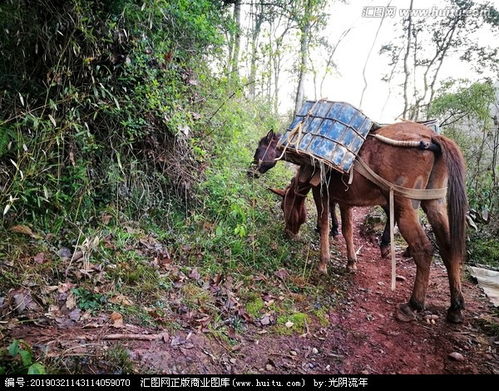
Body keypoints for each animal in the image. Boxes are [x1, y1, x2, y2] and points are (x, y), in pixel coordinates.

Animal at [254, 123, 468, 324]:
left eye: (284, 207)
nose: (252, 170)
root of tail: (431, 136)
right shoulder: (345, 200)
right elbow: (347, 229)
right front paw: (351, 263)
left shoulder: (322, 193)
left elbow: (324, 224)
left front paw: (323, 263)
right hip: (434, 203)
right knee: (449, 248)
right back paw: (455, 307)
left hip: (404, 204)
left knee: (423, 249)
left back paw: (412, 305)